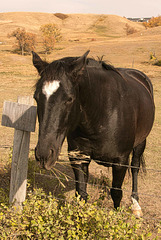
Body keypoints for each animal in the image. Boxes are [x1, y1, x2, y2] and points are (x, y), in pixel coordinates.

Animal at [32, 50, 155, 218]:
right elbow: (81, 194)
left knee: (135, 168)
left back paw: (136, 205)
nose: (44, 154)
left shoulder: (120, 161)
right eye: (36, 97)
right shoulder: (78, 158)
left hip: (141, 143)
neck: (104, 113)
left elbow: (116, 193)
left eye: (69, 99)